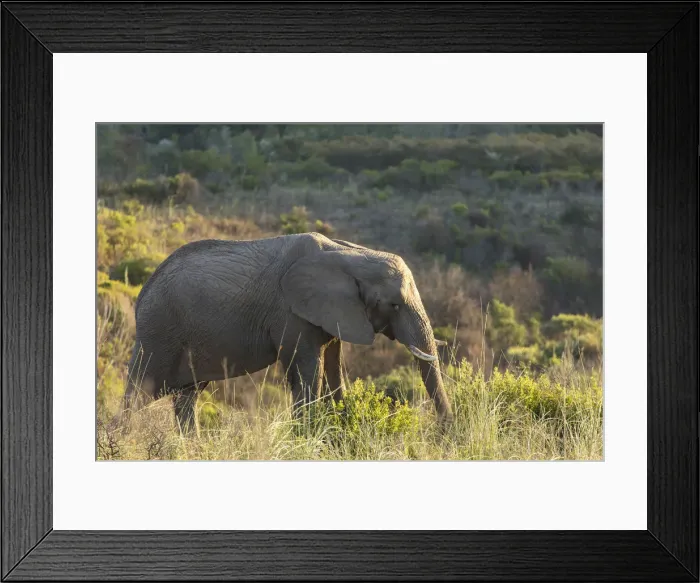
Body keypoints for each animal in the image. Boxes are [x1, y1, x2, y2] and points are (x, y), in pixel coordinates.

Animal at [117, 232, 454, 433]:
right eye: (394, 305)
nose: (444, 434)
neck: (350, 255)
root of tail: (143, 293)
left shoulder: (333, 313)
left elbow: (333, 367)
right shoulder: (292, 313)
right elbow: (307, 370)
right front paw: (308, 436)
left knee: (187, 396)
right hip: (159, 332)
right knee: (139, 392)